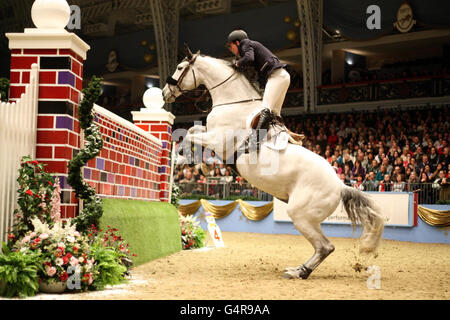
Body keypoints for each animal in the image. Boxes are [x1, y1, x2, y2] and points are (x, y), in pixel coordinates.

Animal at [163, 48, 384, 278]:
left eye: (180, 67)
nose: (164, 93)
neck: (232, 103)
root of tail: (340, 186)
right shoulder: (212, 136)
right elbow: (193, 131)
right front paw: (200, 165)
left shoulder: (219, 140)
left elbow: (191, 134)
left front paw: (187, 159)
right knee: (323, 247)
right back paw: (298, 270)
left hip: (300, 214)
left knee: (325, 246)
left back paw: (298, 272)